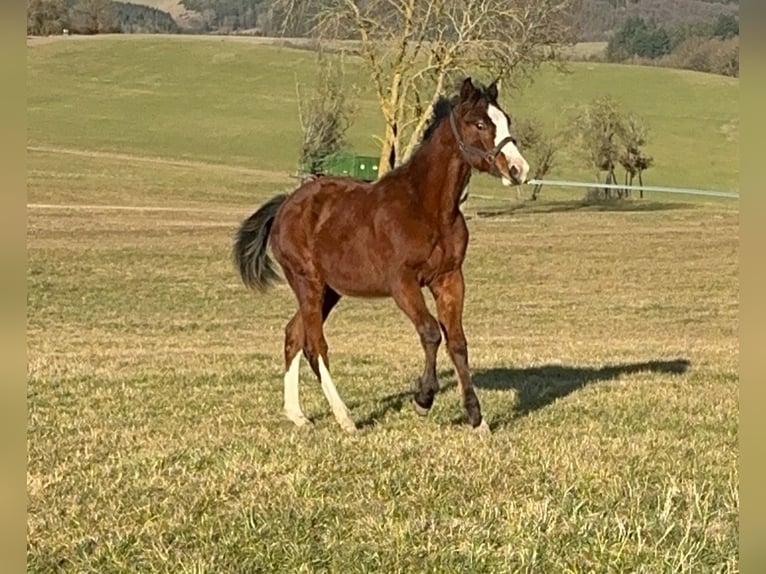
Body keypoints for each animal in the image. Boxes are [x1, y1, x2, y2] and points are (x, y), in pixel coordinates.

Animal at [234, 79, 532, 434]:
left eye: (506, 120)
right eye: (480, 124)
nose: (518, 170)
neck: (428, 207)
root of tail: (286, 206)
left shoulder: (449, 279)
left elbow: (457, 342)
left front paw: (477, 419)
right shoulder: (402, 282)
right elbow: (431, 332)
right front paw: (423, 400)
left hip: (329, 291)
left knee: (293, 334)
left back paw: (297, 415)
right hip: (308, 282)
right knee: (314, 343)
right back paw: (345, 417)